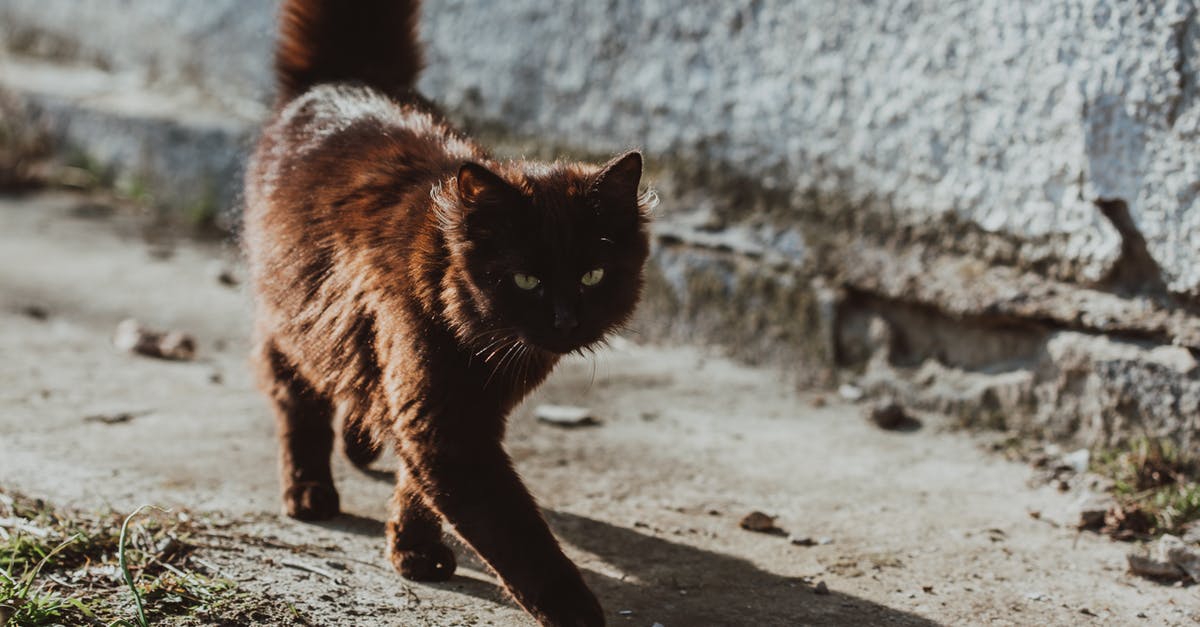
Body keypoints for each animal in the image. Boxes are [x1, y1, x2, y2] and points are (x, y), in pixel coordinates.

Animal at [244, 2, 657, 619]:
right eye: (526, 279)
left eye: (592, 275)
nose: (565, 321)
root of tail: (344, 76)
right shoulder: (445, 424)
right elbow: (514, 532)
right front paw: (573, 608)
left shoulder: (459, 411)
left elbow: (417, 488)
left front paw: (413, 550)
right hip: (293, 311)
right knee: (297, 396)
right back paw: (309, 490)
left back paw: (361, 444)